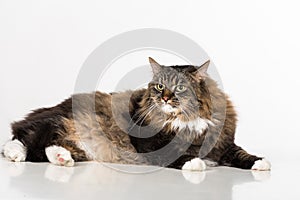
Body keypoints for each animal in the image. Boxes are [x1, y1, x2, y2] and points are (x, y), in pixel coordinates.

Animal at [1, 57, 270, 171]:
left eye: (180, 87)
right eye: (159, 86)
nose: (165, 98)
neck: (184, 121)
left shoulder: (224, 144)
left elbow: (242, 153)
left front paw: (260, 162)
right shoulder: (152, 146)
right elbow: (177, 155)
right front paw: (195, 163)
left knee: (39, 146)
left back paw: (56, 157)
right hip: (60, 121)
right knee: (26, 141)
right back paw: (26, 155)